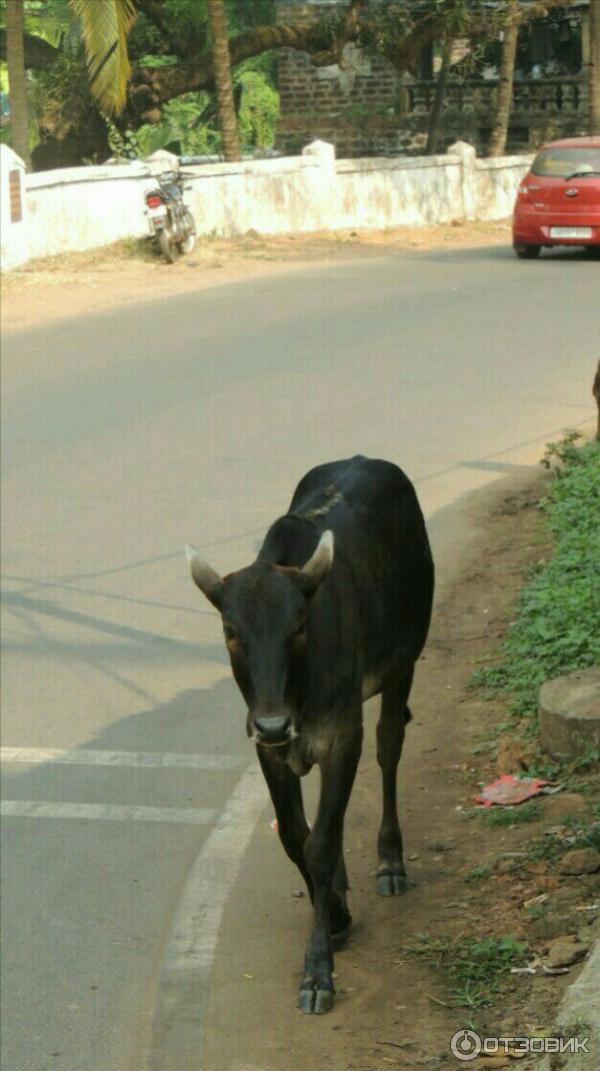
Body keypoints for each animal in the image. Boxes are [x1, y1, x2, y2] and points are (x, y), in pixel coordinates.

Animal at [185, 456, 432, 1015]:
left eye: (299, 626)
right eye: (231, 632)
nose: (274, 722)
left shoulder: (342, 736)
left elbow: (319, 842)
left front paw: (319, 968)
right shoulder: (269, 750)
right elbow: (298, 837)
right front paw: (335, 911)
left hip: (403, 664)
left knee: (389, 748)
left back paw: (390, 861)